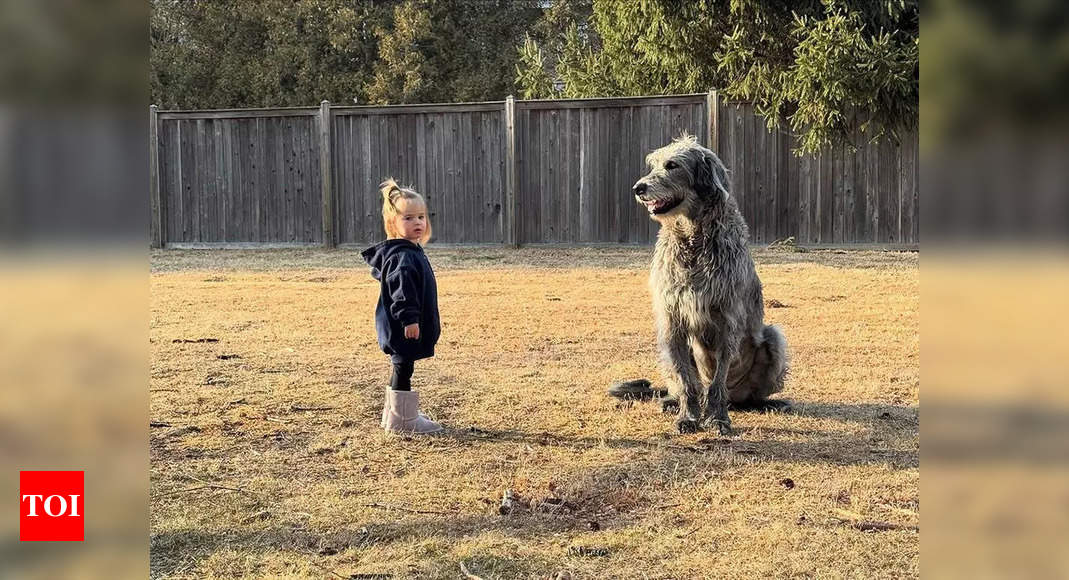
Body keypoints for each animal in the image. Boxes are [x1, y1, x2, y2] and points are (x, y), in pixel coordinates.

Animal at [624, 135, 786, 435]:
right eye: (653, 165)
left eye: (672, 165)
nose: (638, 188)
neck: (693, 239)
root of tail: (737, 397)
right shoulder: (672, 321)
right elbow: (687, 380)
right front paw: (689, 416)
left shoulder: (727, 319)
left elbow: (717, 381)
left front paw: (718, 418)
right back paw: (673, 402)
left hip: (775, 338)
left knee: (746, 392)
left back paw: (762, 404)